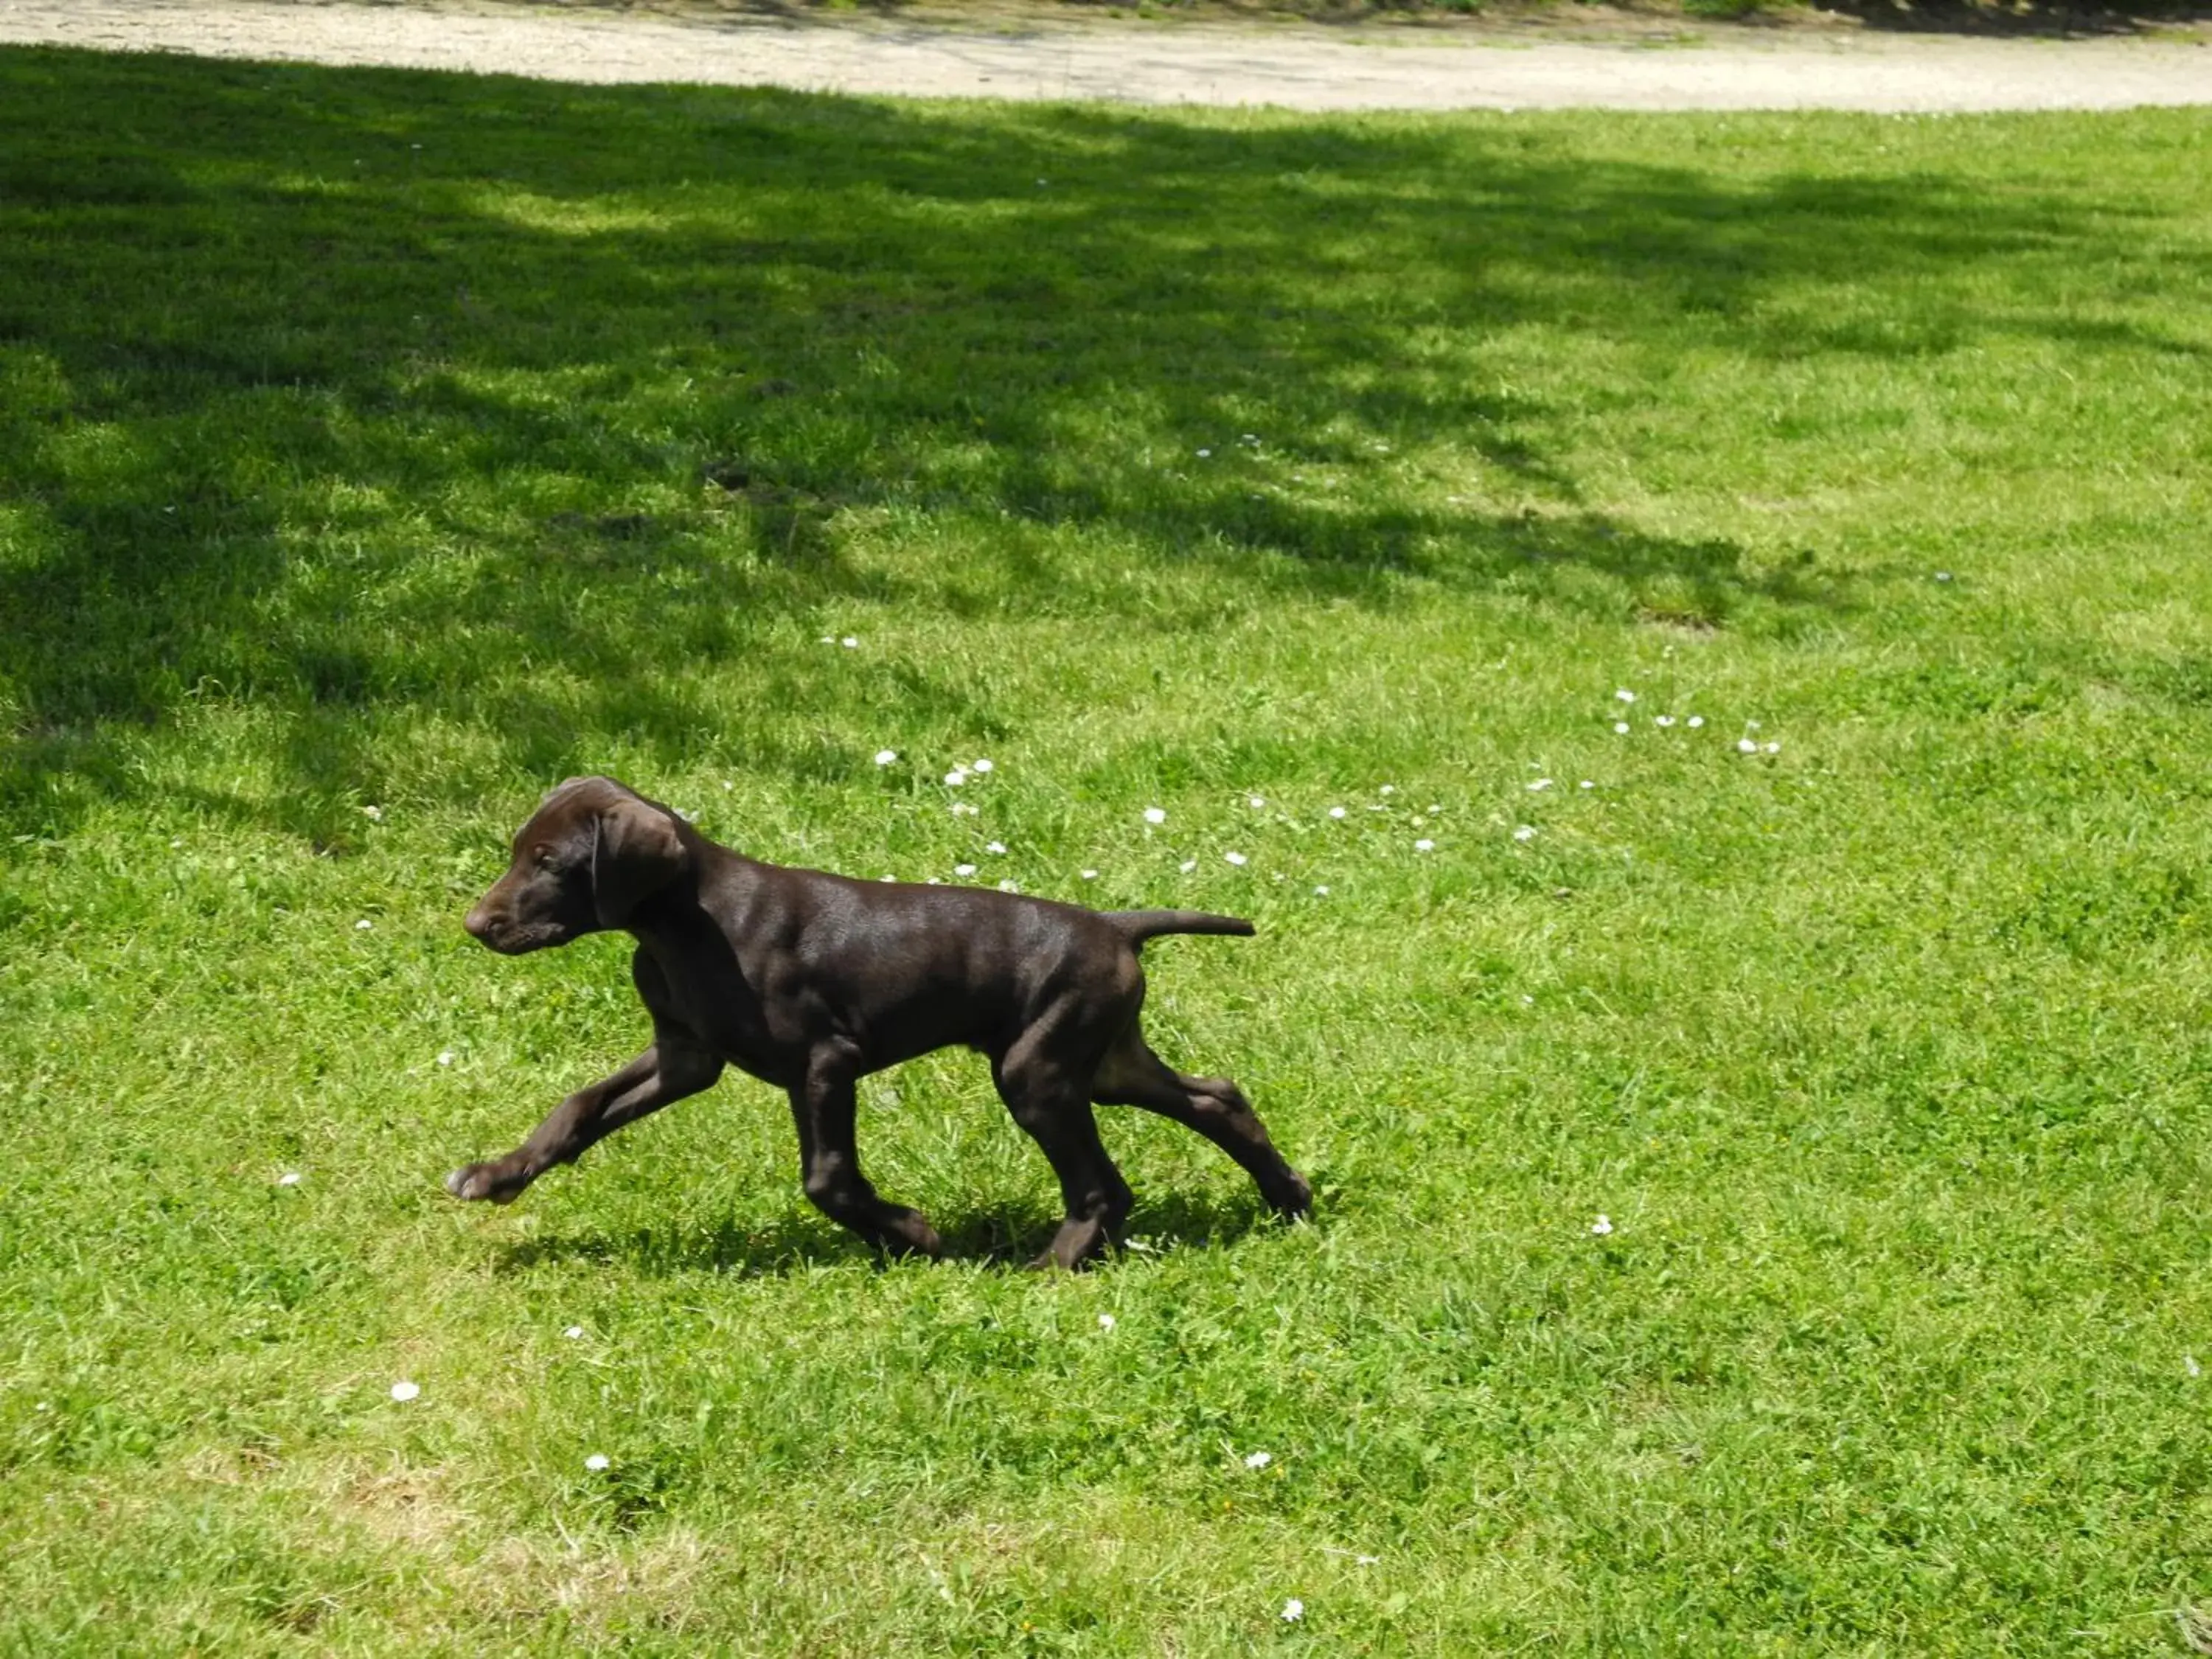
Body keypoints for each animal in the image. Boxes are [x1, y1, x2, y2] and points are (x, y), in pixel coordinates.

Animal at [451, 779, 1310, 1274]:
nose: (476, 925)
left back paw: (1050, 1267)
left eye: (550, 862)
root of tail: (1114, 926)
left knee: (1102, 1184)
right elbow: (578, 1107)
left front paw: (910, 1236)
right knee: (1217, 1097)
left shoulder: (826, 1062)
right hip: (1100, 1062)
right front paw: (499, 1174)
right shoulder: (685, 1054)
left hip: (1039, 1071)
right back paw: (1289, 1197)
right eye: (520, 852)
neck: (688, 927)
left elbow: (827, 1179)